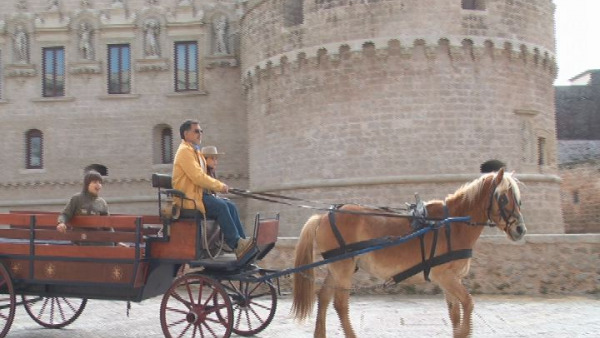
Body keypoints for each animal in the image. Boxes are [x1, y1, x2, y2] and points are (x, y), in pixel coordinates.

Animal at [292, 169, 524, 338]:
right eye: (503, 199)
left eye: (518, 199)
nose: (520, 229)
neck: (451, 224)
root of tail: (324, 216)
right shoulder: (445, 277)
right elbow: (468, 304)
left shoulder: (451, 279)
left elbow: (455, 313)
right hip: (343, 267)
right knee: (340, 305)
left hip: (336, 266)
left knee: (323, 297)